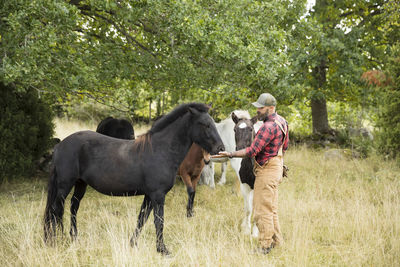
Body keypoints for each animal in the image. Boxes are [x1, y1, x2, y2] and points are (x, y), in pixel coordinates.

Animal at [44, 102, 225, 255]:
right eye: (205, 124)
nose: (220, 148)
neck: (159, 150)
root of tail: (60, 145)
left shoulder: (149, 196)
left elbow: (142, 219)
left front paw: (133, 244)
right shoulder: (158, 195)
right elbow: (159, 221)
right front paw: (162, 250)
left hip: (80, 184)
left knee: (73, 207)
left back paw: (73, 237)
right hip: (65, 185)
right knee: (56, 210)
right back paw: (58, 240)